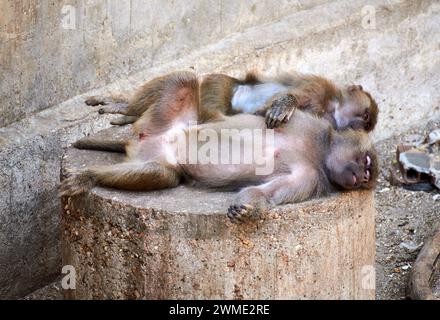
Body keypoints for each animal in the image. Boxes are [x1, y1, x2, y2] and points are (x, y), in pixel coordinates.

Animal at [62, 74, 378, 222]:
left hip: (159, 153)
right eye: (366, 162)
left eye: (367, 177)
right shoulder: (310, 121)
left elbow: (268, 193)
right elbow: (269, 108)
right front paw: (282, 104)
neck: (318, 150)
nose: (362, 177)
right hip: (167, 121)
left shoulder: (310, 178)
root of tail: (143, 138)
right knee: (185, 79)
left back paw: (91, 175)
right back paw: (122, 109)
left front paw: (249, 210)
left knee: (162, 173)